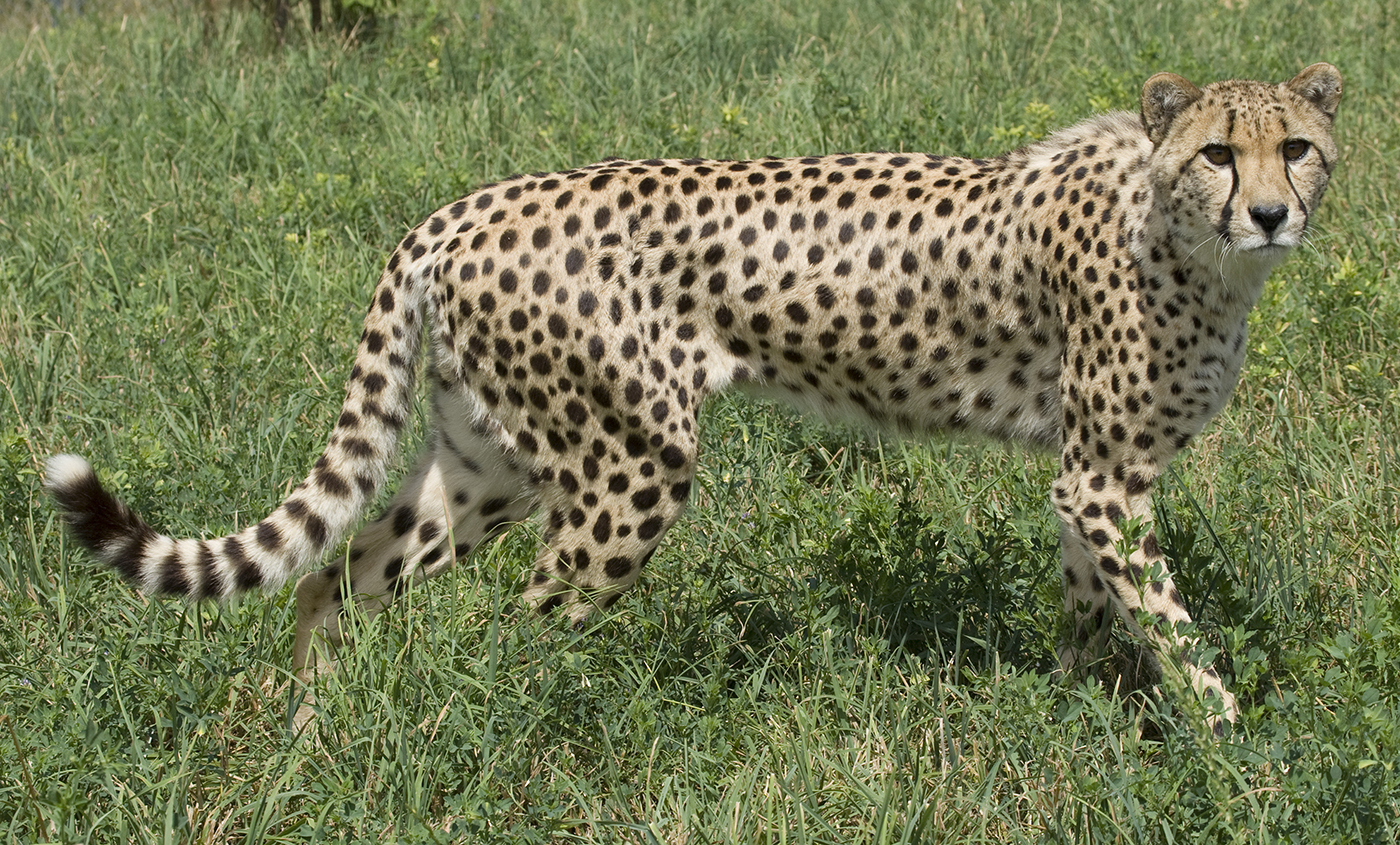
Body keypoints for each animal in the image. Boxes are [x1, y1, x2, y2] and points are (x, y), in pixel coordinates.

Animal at [46, 64, 1342, 732]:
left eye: (1297, 147)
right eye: (1218, 153)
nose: (1272, 211)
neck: (1185, 240)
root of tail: (459, 205)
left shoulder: (1088, 478)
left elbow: (1094, 609)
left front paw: (1076, 713)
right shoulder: (1102, 477)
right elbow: (1170, 624)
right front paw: (1238, 744)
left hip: (487, 462)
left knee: (334, 574)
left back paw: (313, 732)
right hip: (629, 465)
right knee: (526, 630)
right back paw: (538, 744)